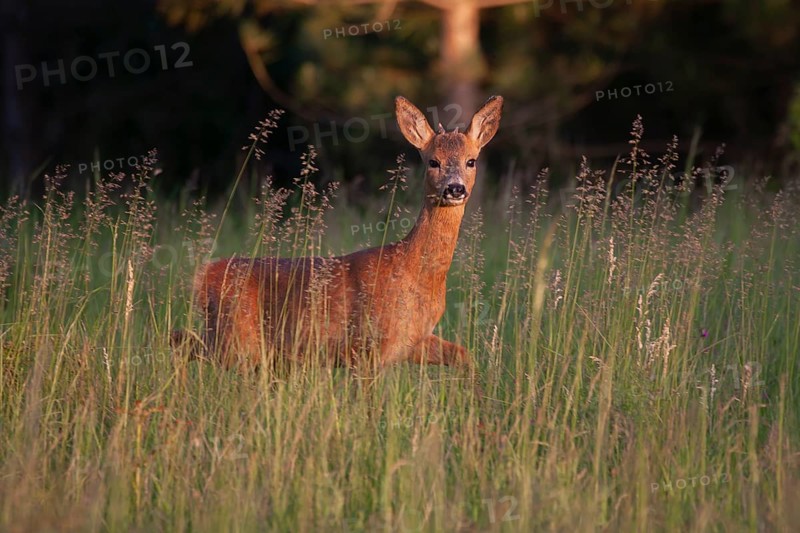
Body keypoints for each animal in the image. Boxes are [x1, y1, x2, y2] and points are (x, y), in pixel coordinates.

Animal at [171, 95, 503, 370]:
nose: (455, 188)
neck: (415, 272)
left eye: (471, 161)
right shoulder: (368, 346)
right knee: (180, 342)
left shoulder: (413, 341)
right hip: (238, 338)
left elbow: (465, 356)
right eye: (433, 161)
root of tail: (203, 276)